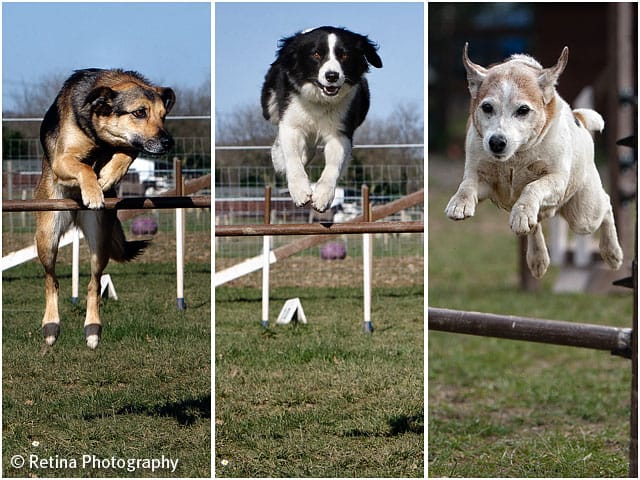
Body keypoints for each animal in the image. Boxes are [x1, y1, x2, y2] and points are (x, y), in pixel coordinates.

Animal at [35, 69, 175, 348]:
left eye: (163, 115)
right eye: (139, 112)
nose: (168, 142)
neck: (97, 136)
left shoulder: (127, 147)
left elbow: (126, 152)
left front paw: (108, 177)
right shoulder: (62, 159)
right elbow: (84, 167)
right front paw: (93, 190)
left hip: (99, 239)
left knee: (94, 283)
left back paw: (92, 329)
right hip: (47, 235)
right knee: (51, 280)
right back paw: (51, 326)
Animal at [448, 44, 624, 278]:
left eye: (523, 110)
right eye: (486, 107)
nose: (496, 142)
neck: (515, 157)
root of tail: (580, 120)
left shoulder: (556, 180)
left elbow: (533, 186)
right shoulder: (486, 181)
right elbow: (468, 183)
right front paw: (460, 204)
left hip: (584, 214)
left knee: (605, 205)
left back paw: (612, 253)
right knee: (534, 224)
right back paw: (537, 256)